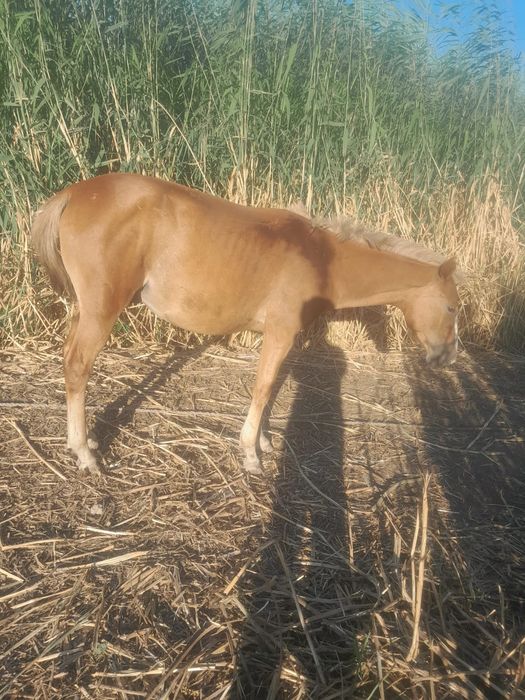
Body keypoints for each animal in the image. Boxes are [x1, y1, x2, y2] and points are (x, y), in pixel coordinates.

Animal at [32, 173, 460, 475]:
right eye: (453, 307)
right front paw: (251, 454)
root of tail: (75, 193)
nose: (447, 356)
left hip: (85, 309)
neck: (321, 258)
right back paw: (85, 453)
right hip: (102, 310)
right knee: (78, 365)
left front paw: (266, 442)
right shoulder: (281, 332)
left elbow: (272, 387)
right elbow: (263, 387)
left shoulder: (280, 336)